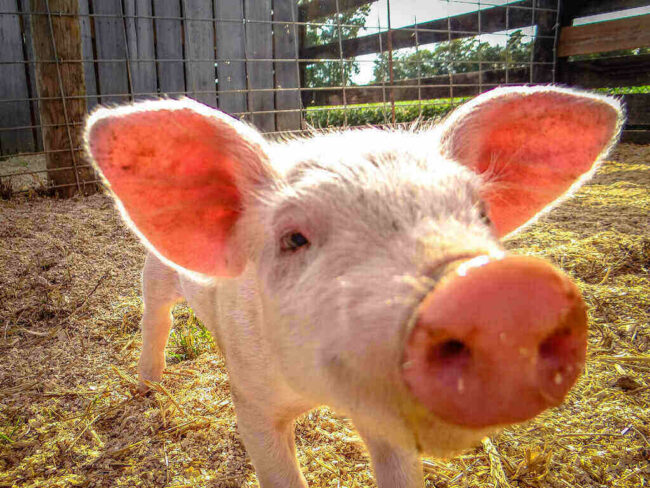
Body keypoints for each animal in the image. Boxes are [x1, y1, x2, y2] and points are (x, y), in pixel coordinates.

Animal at [84, 86, 622, 488]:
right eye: (293, 238)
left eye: (482, 213)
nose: (500, 292)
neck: (316, 397)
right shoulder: (253, 403)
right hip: (155, 273)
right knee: (156, 316)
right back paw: (150, 384)